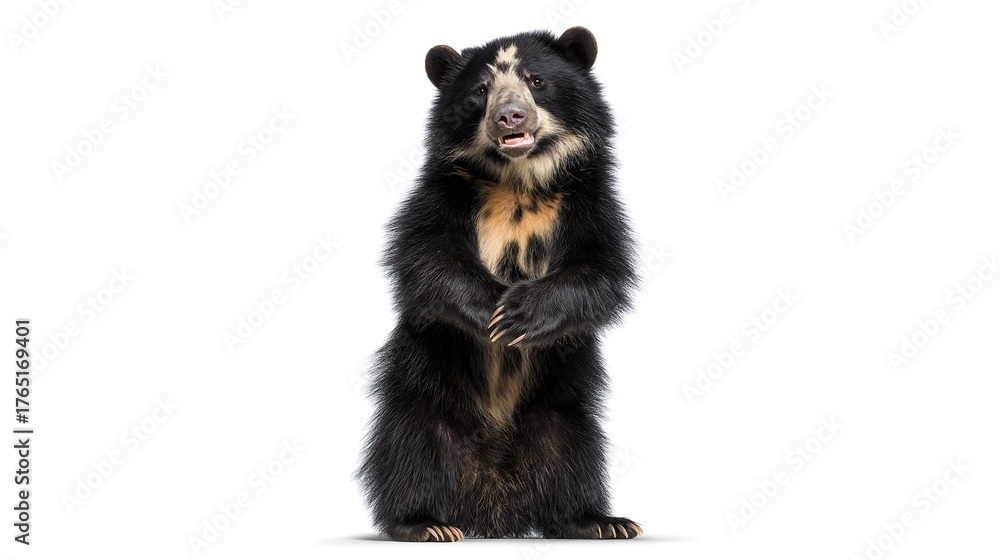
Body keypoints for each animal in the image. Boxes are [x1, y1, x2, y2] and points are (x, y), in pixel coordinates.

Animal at [358, 27, 641, 541]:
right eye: (480, 91)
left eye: (536, 80)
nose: (510, 116)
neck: (518, 182)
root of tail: (493, 506)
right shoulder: (444, 193)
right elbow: (427, 257)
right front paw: (495, 308)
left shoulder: (589, 200)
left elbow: (601, 268)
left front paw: (520, 314)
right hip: (421, 404)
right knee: (409, 456)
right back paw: (427, 525)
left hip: (562, 414)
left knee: (574, 461)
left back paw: (600, 521)